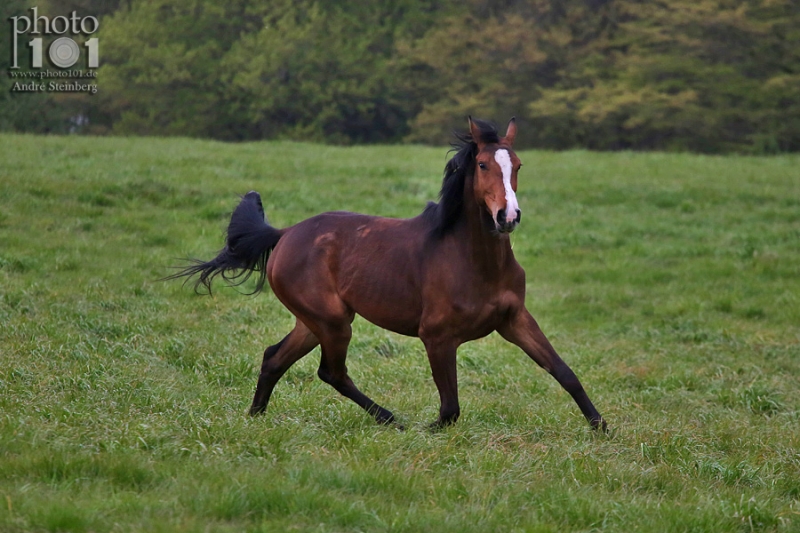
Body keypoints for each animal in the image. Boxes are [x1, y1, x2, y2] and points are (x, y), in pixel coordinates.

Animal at [170, 118, 608, 430]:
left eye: (517, 165)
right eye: (483, 164)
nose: (508, 217)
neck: (474, 261)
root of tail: (285, 234)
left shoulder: (515, 319)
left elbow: (564, 372)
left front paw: (602, 427)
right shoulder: (437, 336)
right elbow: (450, 408)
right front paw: (426, 429)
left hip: (314, 321)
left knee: (274, 358)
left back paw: (256, 417)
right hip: (332, 321)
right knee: (331, 371)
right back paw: (391, 420)